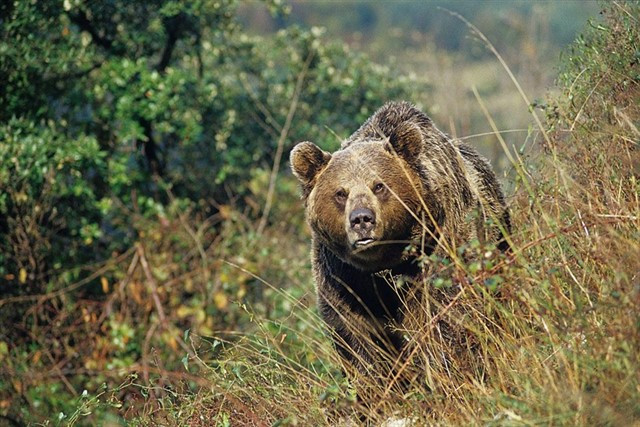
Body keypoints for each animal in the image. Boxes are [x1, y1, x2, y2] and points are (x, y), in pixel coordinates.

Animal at [290, 101, 510, 384]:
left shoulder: (441, 245)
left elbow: (444, 315)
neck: (385, 263)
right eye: (340, 192)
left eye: (379, 185)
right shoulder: (342, 278)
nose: (362, 219)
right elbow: (356, 337)